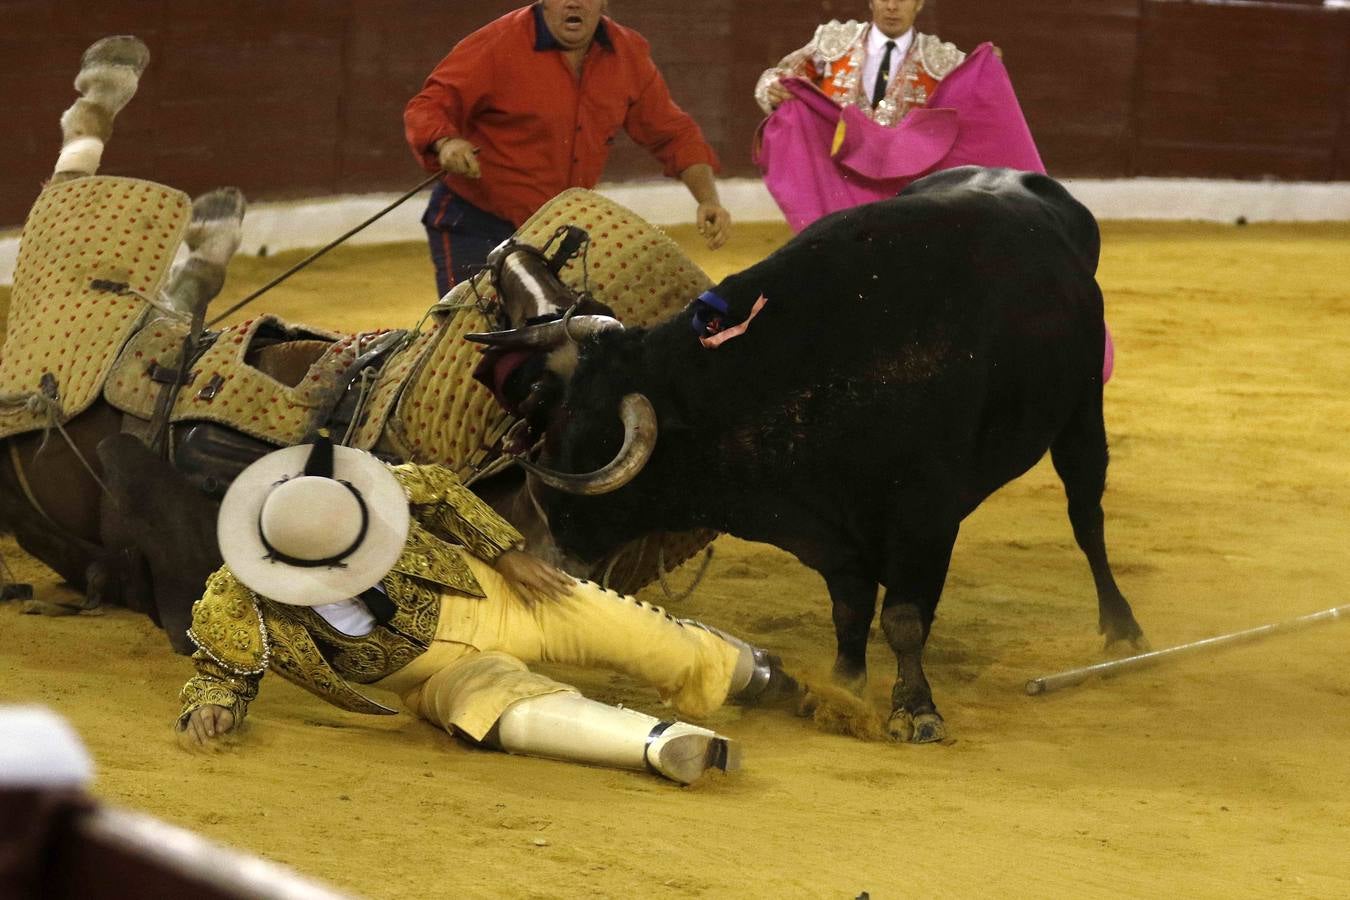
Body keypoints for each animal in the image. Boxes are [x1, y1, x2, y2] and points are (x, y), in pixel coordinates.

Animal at [510, 165, 1144, 744]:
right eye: (556, 425)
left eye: (592, 446)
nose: (554, 548)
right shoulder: (831, 532)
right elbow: (851, 611)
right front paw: (843, 688)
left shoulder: (924, 518)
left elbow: (904, 618)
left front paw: (915, 710)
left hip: (1082, 411)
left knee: (1086, 515)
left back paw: (1122, 626)